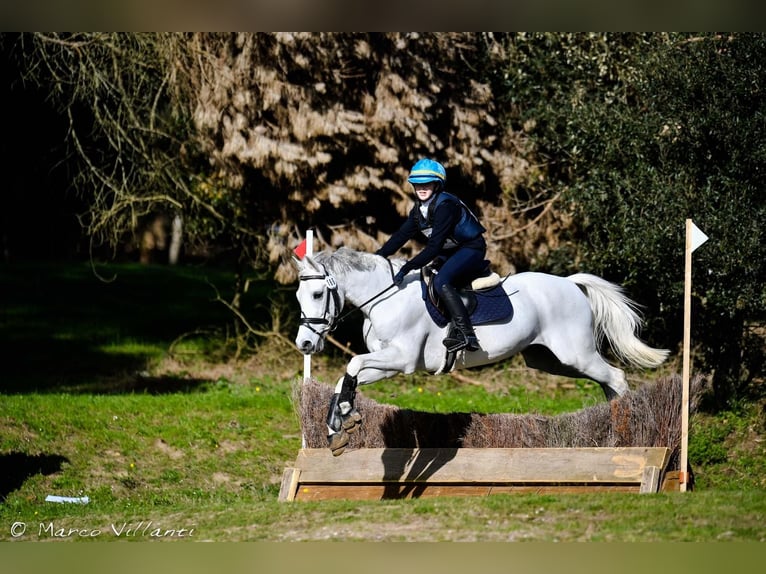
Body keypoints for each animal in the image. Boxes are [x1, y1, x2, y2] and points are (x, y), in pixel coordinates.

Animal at [294, 247, 669, 455]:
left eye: (317, 294)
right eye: (299, 296)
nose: (305, 345)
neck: (385, 298)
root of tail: (569, 282)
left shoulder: (402, 360)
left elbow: (353, 363)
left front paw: (343, 417)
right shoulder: (387, 365)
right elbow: (349, 377)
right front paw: (338, 423)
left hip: (577, 354)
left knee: (616, 377)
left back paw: (627, 431)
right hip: (552, 360)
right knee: (607, 382)